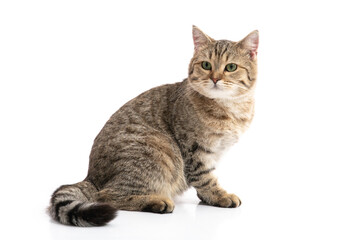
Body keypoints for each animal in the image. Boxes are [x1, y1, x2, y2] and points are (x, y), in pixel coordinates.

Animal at [49, 26, 260, 227]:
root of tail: (90, 176)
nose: (215, 78)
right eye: (206, 65)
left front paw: (208, 197)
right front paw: (219, 196)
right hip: (157, 150)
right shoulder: (195, 150)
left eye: (231, 67)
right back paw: (156, 201)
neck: (230, 107)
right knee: (107, 195)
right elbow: (205, 178)